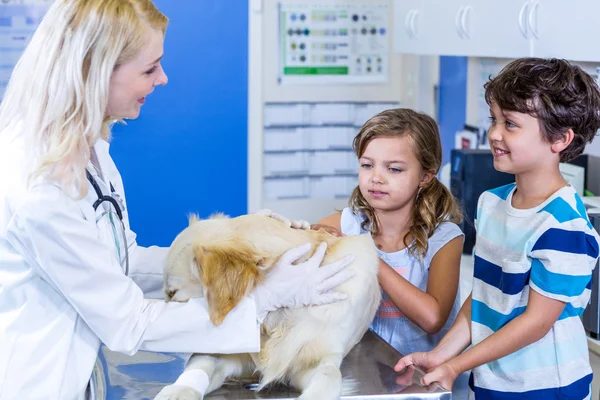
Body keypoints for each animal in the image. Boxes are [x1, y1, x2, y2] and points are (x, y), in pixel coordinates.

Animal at [154, 214, 380, 398]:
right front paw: (178, 391)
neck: (272, 321)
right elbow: (201, 365)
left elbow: (328, 378)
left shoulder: (319, 359)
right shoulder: (223, 352)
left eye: (173, 293)